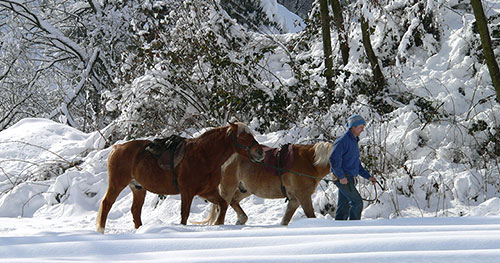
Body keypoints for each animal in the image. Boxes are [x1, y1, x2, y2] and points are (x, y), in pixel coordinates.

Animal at [95, 122, 264, 234]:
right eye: (242, 137)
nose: (260, 152)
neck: (204, 156)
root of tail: (117, 148)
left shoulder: (207, 192)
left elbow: (222, 205)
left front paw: (219, 224)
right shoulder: (187, 192)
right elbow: (185, 215)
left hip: (138, 188)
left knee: (135, 211)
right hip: (117, 184)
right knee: (106, 204)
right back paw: (101, 230)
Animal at [205, 142, 334, 227]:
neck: (310, 163)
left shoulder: (295, 200)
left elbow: (285, 221)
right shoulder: (303, 197)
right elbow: (311, 215)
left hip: (246, 190)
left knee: (234, 201)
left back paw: (241, 220)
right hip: (228, 189)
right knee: (220, 216)